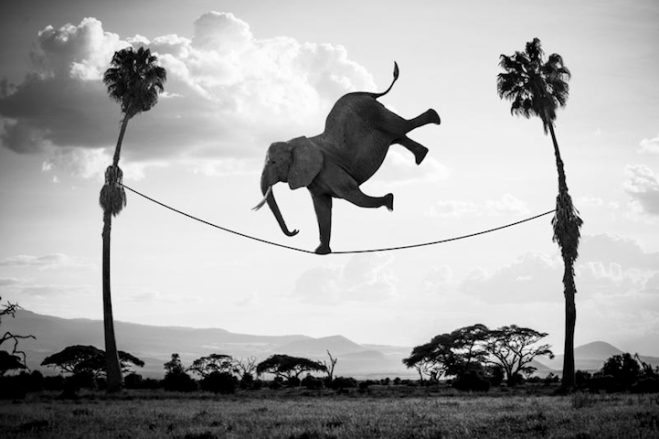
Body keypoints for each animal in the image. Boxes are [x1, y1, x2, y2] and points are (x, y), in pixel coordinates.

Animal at [254, 62, 441, 254]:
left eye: (273, 162)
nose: (296, 230)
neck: (295, 142)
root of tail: (367, 94)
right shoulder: (315, 180)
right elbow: (322, 208)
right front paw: (321, 252)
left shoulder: (329, 170)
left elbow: (351, 194)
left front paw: (389, 201)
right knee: (397, 136)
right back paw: (421, 155)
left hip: (374, 113)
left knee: (401, 126)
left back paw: (435, 118)